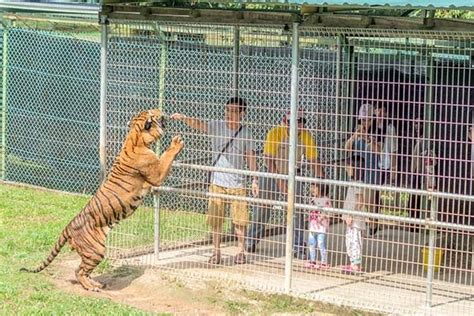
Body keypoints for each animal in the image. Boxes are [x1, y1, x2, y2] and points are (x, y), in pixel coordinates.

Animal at [20, 108, 183, 292]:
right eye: (154, 113)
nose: (162, 111)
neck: (135, 137)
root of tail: (68, 226)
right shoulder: (157, 174)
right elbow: (167, 157)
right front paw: (176, 142)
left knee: (84, 271)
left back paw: (96, 283)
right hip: (96, 250)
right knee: (79, 271)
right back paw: (92, 288)